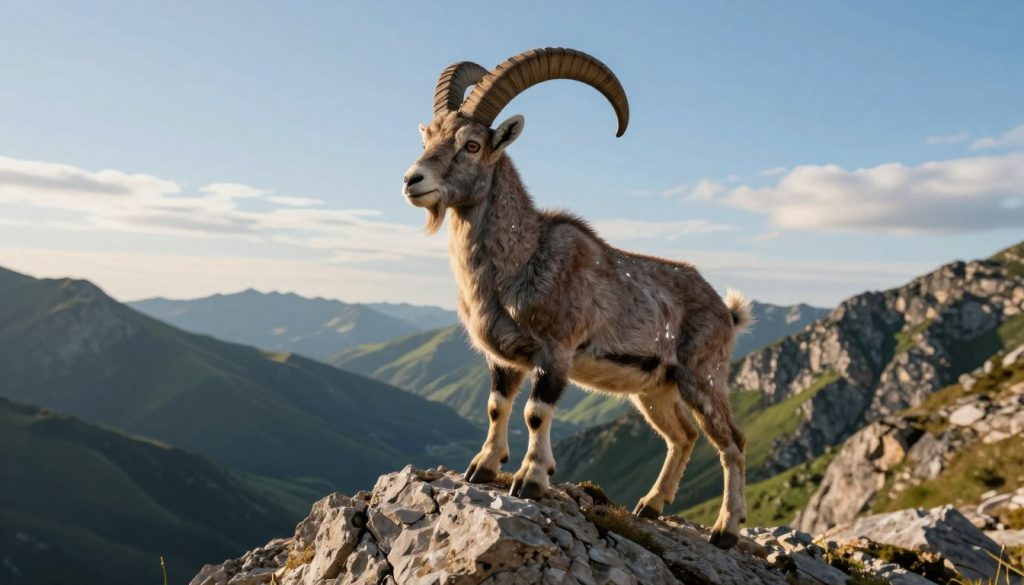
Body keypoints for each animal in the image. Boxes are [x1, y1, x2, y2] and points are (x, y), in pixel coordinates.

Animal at [401, 48, 753, 548]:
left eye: (471, 145)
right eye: (429, 135)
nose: (413, 180)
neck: (522, 259)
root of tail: (727, 311)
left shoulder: (556, 352)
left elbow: (535, 412)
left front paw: (531, 479)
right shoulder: (503, 358)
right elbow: (497, 406)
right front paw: (482, 467)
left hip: (703, 377)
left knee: (731, 443)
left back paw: (725, 529)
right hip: (654, 390)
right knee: (682, 436)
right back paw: (651, 505)